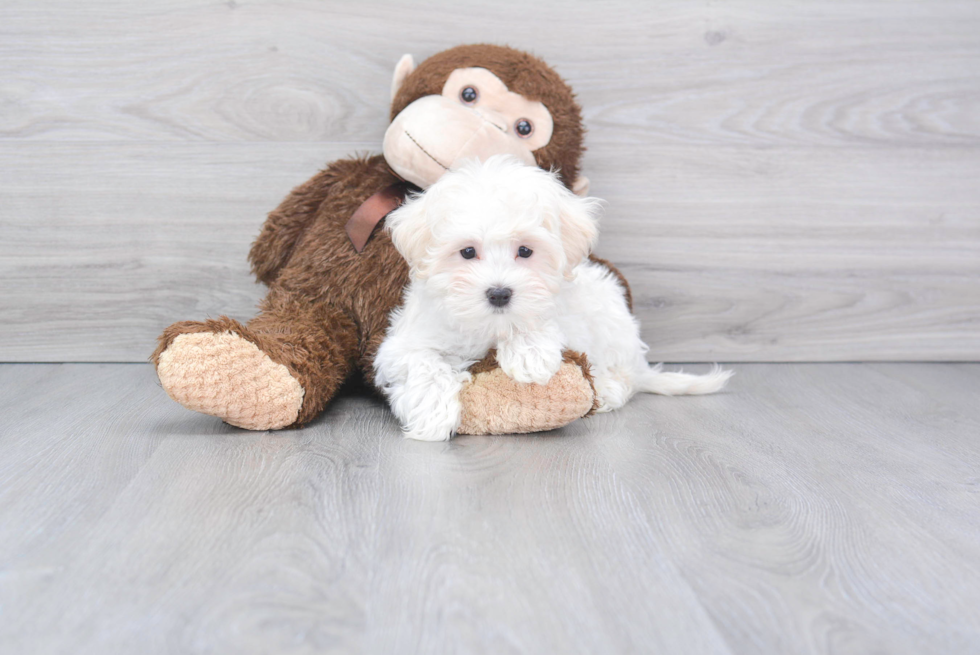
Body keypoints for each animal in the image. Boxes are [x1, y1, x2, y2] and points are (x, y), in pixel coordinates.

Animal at [374, 155, 728, 440]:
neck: (490, 327)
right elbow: (423, 363)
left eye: (525, 251)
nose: (499, 294)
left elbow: (539, 320)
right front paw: (431, 417)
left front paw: (529, 353)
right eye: (468, 252)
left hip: (612, 320)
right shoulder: (404, 343)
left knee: (622, 375)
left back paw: (607, 390)